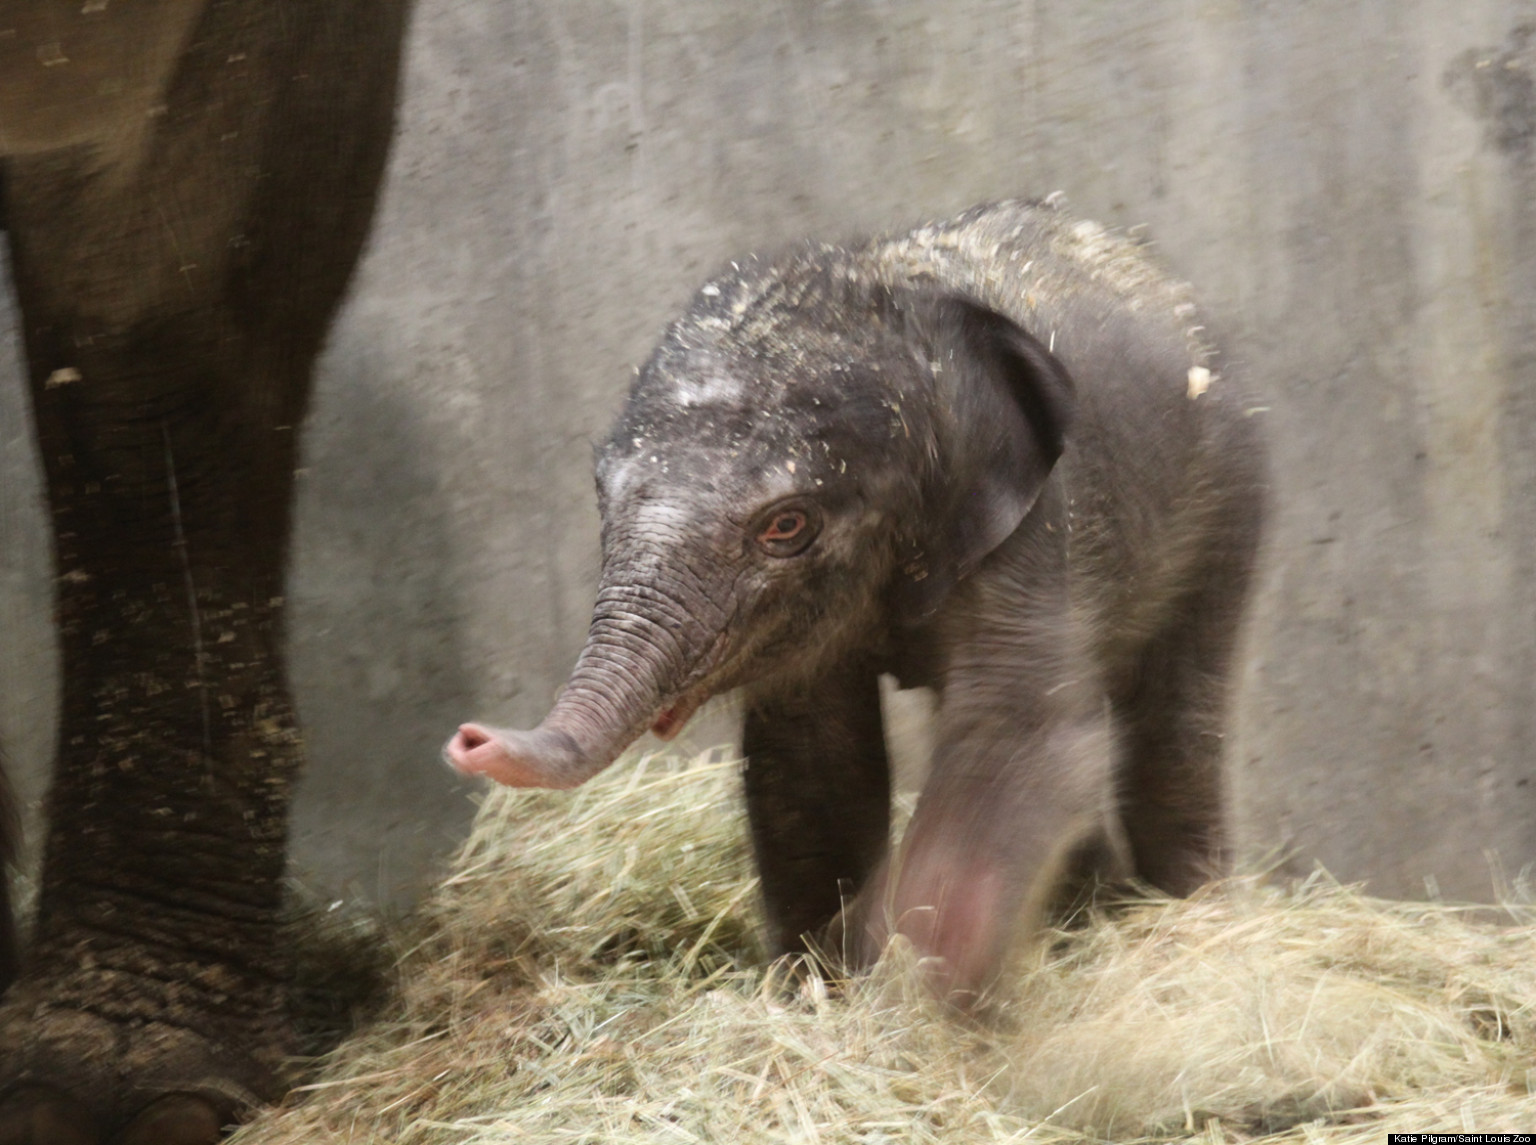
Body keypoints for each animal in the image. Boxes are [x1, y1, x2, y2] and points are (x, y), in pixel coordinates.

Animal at [447, 199, 1268, 1002]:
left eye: (786, 525)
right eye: (598, 491)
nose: (470, 740)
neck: (907, 314)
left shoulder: (1036, 522)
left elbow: (1017, 735)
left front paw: (927, 977)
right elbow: (814, 760)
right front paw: (829, 991)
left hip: (1229, 489)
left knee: (1173, 721)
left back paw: (1195, 927)